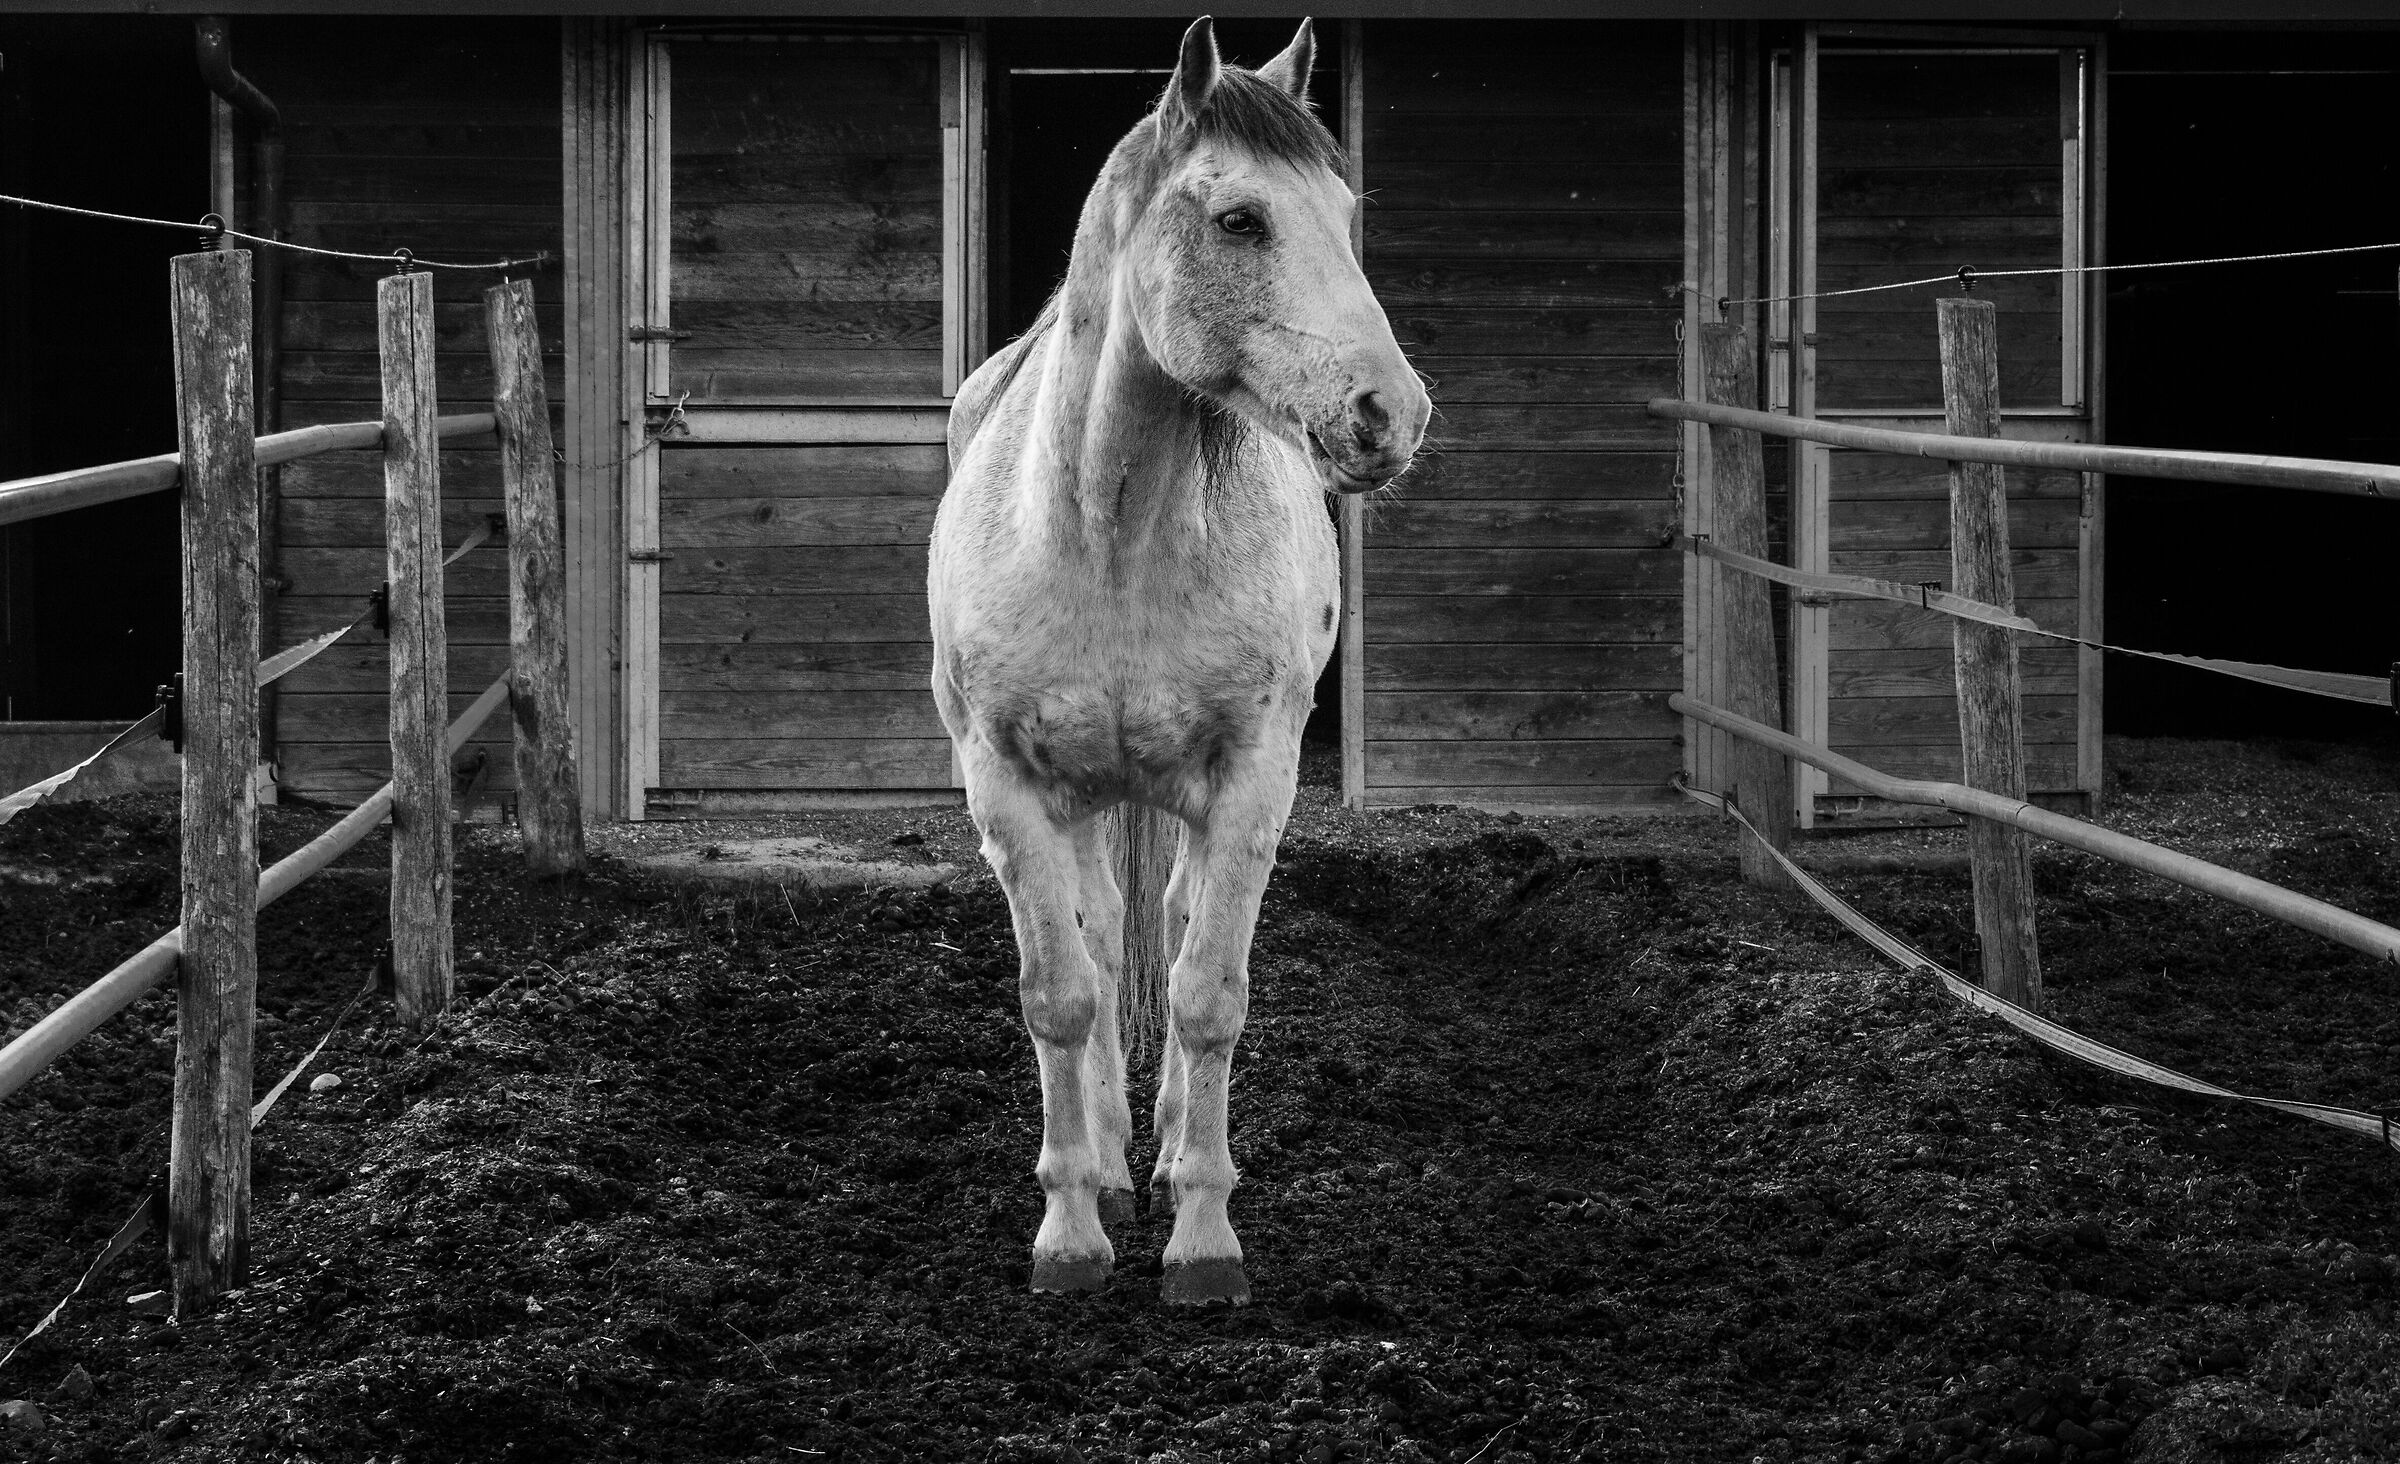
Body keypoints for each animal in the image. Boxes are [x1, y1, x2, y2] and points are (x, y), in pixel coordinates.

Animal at [929, 15, 1429, 1305]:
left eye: (1344, 210)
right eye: (1242, 219)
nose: (1389, 413)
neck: (1114, 529)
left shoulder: (1253, 780)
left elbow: (1208, 998)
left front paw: (1204, 1239)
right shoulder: (1007, 787)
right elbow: (1062, 995)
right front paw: (1069, 1235)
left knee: (1170, 919)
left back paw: (1152, 1154)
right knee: (1106, 942)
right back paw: (1107, 1160)